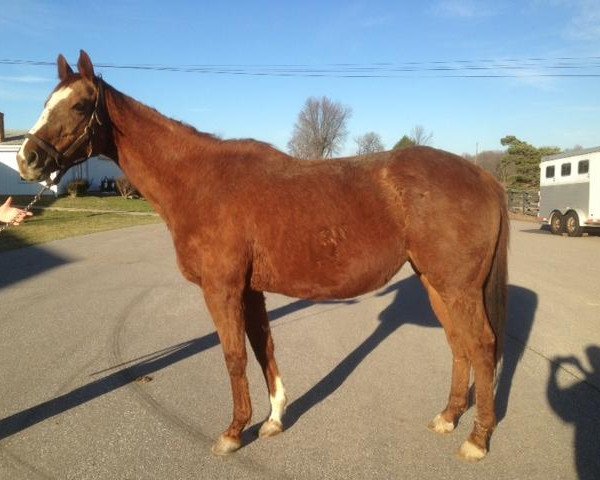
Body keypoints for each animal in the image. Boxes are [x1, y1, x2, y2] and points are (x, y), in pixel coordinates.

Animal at [17, 51, 506, 462]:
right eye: (47, 101)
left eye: (80, 106)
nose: (27, 159)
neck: (200, 182)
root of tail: (482, 175)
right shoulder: (250, 291)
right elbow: (262, 347)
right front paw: (273, 420)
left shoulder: (222, 289)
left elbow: (233, 355)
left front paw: (234, 432)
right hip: (436, 283)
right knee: (459, 344)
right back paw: (448, 417)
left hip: (457, 287)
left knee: (482, 345)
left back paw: (477, 439)